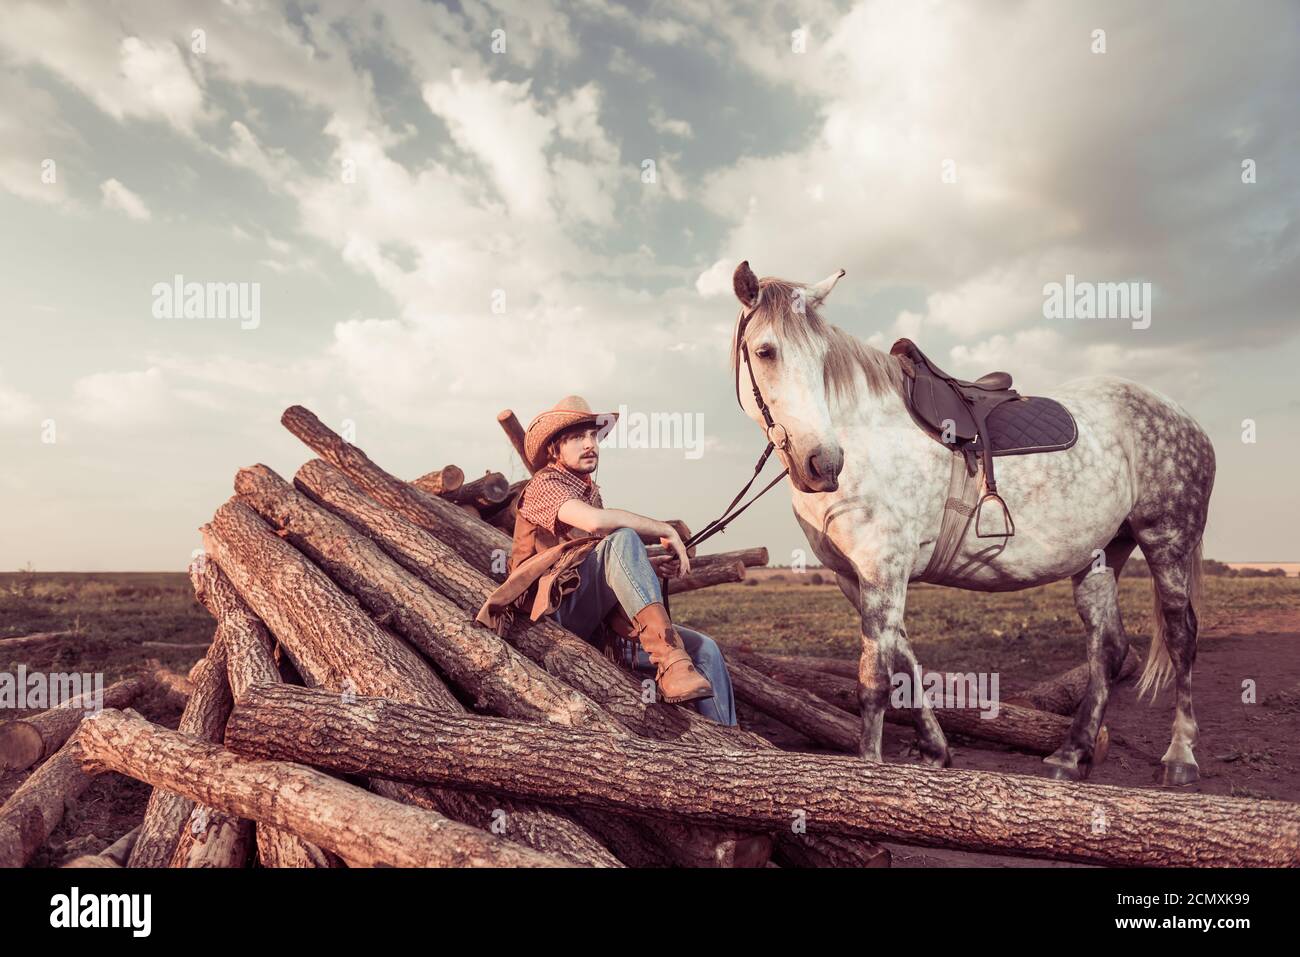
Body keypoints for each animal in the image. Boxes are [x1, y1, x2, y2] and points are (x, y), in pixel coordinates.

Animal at [728, 260, 1215, 784]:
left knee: (1181, 636)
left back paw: (1180, 757)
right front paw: (935, 751)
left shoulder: (884, 570)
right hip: (1102, 556)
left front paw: (870, 772)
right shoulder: (854, 578)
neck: (865, 435)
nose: (823, 463)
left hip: (1167, 540)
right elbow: (905, 665)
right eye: (766, 351)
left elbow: (874, 683)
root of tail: (1185, 418)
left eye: (822, 359)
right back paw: (1071, 754)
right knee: (1108, 648)